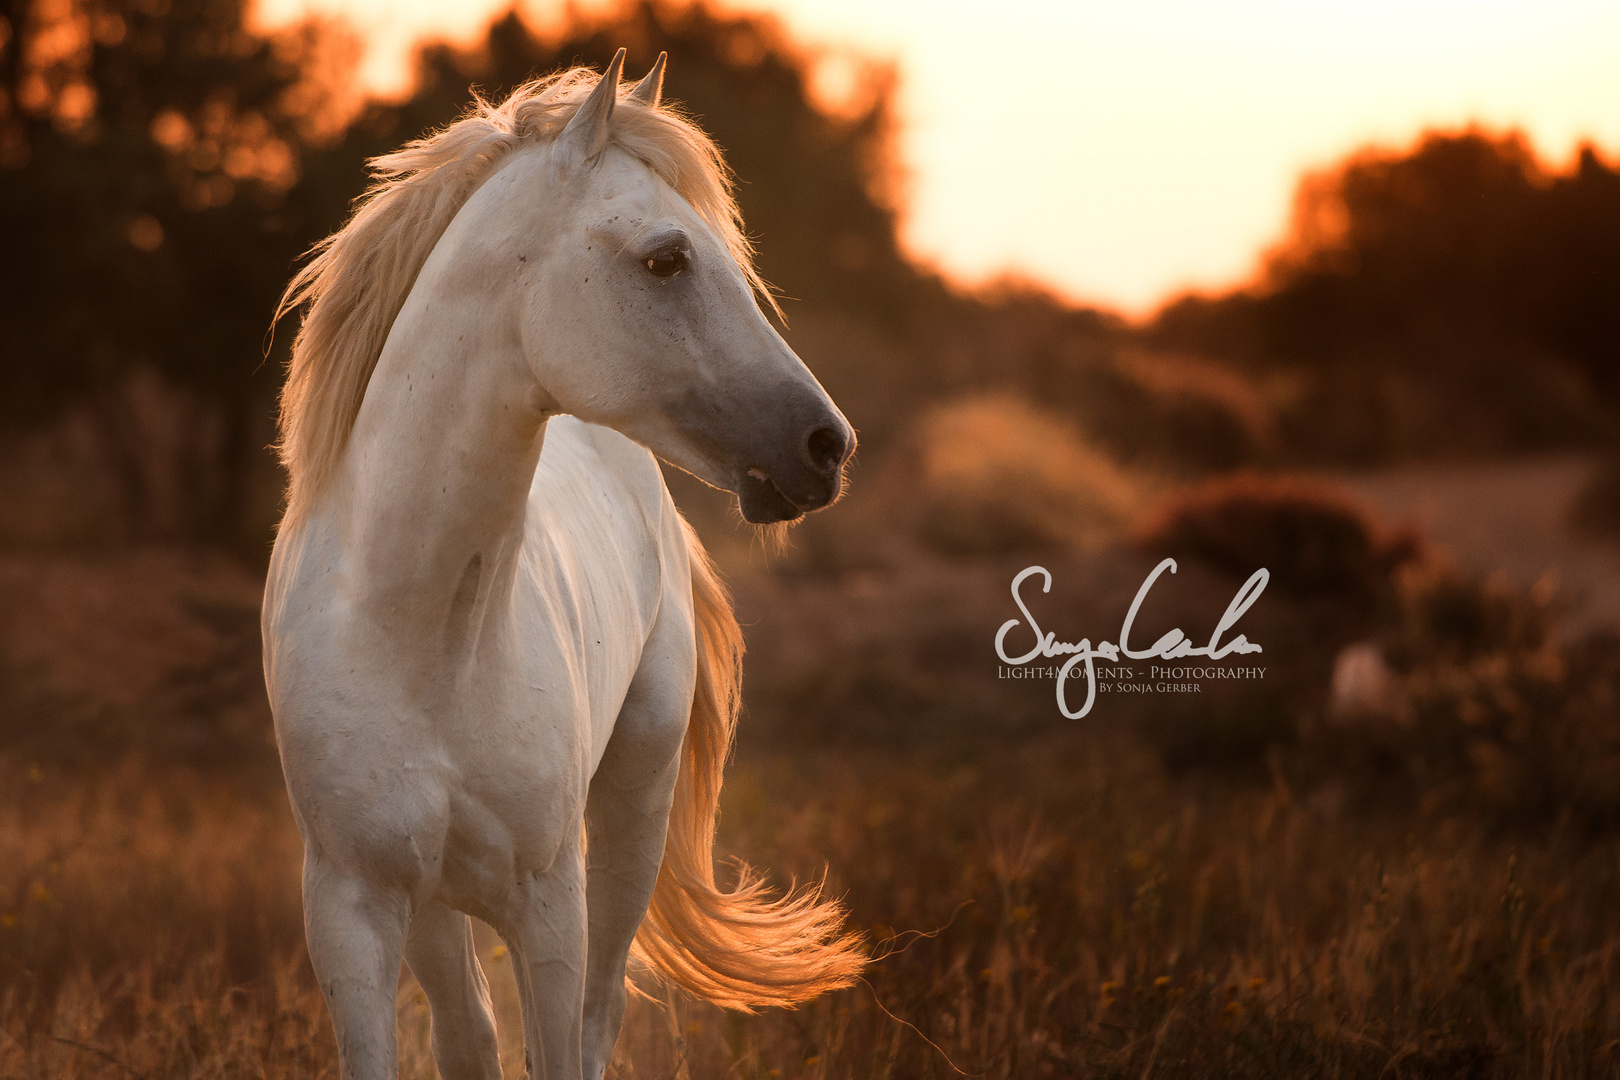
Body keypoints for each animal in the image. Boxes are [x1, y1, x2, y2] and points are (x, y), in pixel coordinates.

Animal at [264, 52, 868, 1080]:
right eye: (666, 258)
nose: (826, 447)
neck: (421, 633)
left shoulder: (549, 907)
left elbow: (563, 1038)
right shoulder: (351, 908)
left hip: (631, 818)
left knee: (595, 1020)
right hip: (434, 906)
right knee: (469, 1032)